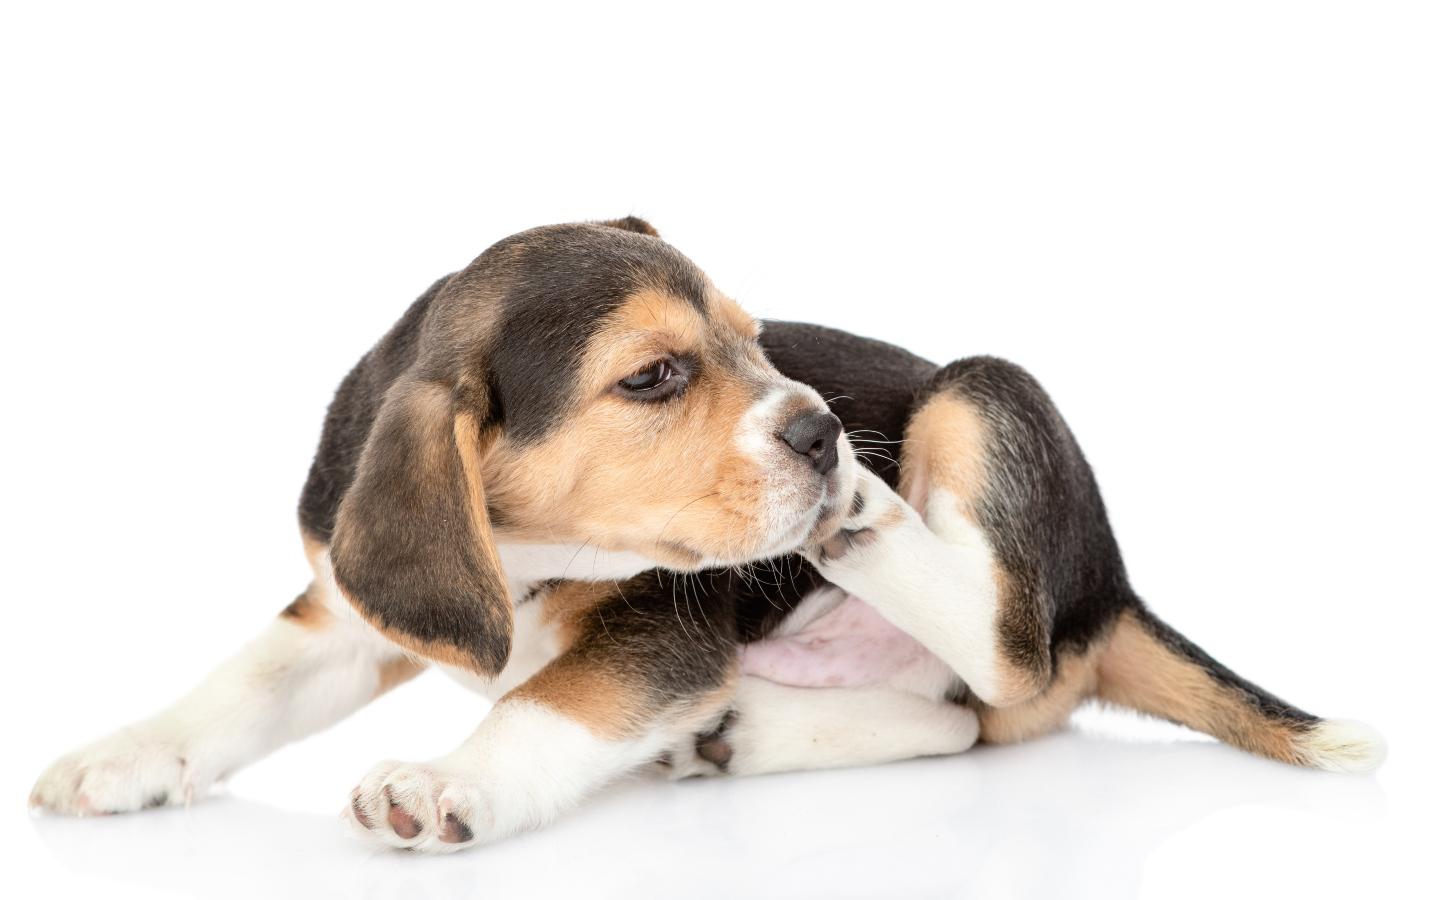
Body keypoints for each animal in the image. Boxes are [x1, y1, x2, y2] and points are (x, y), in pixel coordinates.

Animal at [30, 217, 1382, 846]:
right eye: (654, 378)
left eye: (756, 340)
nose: (823, 429)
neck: (529, 565)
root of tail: (1112, 585)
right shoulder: (347, 606)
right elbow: (243, 684)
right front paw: (120, 755)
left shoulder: (660, 636)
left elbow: (545, 703)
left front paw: (450, 780)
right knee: (962, 723)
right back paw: (740, 730)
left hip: (982, 395)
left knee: (1011, 658)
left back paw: (865, 522)